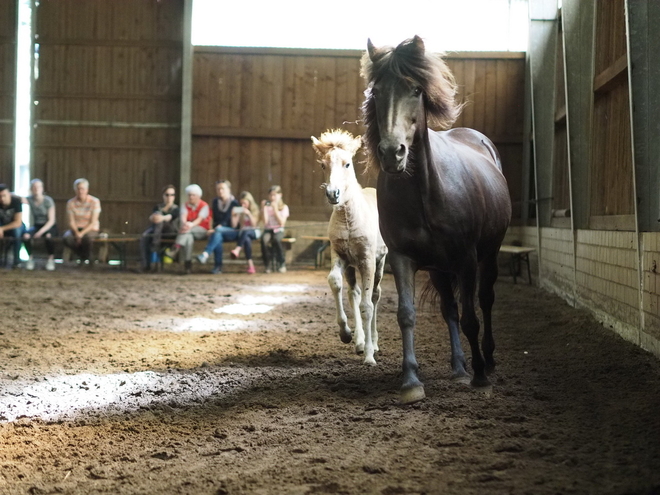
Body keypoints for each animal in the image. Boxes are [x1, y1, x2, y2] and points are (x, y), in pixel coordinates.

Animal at [310, 130, 386, 366]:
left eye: (347, 164)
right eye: (323, 165)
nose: (333, 194)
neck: (349, 219)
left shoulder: (367, 260)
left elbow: (367, 306)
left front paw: (370, 357)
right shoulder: (340, 255)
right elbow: (335, 282)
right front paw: (345, 334)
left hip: (380, 262)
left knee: (375, 295)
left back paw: (374, 344)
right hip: (352, 267)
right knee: (354, 293)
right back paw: (360, 342)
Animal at [360, 36, 510, 404]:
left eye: (416, 90)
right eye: (377, 91)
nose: (391, 153)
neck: (425, 195)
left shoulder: (467, 259)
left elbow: (471, 318)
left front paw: (481, 376)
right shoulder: (402, 258)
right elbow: (407, 315)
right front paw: (411, 381)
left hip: (488, 255)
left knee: (484, 301)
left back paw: (487, 360)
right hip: (440, 269)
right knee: (449, 310)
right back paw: (458, 368)